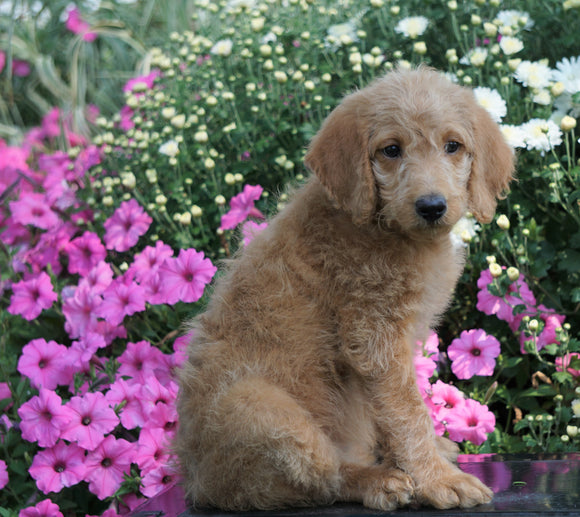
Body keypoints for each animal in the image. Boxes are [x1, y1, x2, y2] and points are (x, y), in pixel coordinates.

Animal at [174, 66, 516, 510]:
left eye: (453, 146)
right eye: (391, 150)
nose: (432, 206)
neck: (383, 227)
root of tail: (198, 482)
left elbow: (389, 412)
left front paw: (425, 460)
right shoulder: (375, 334)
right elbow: (407, 411)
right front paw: (438, 479)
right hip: (261, 407)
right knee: (322, 478)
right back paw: (377, 480)